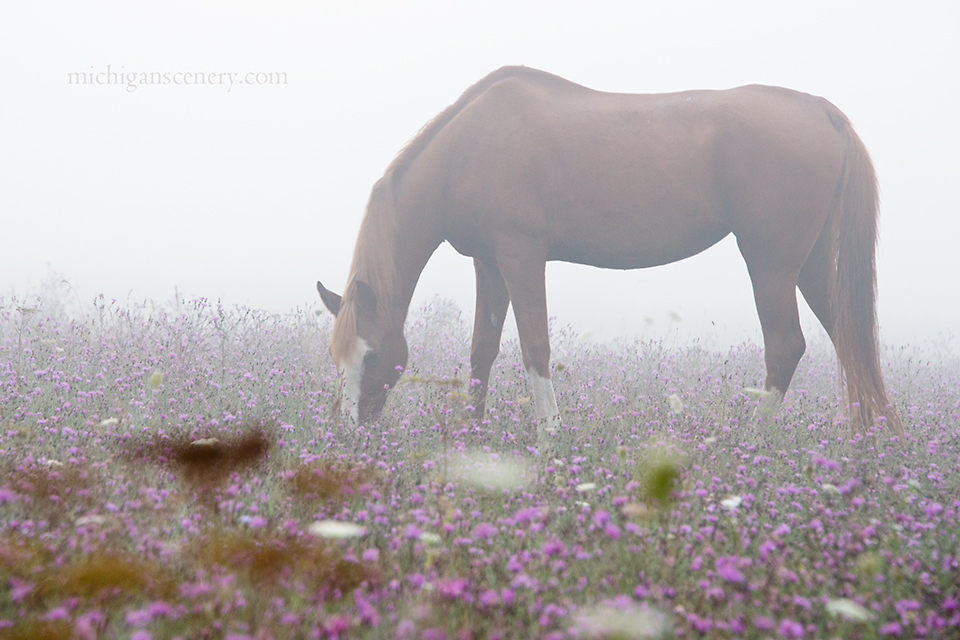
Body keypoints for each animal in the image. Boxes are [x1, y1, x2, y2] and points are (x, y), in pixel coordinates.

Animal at [318, 67, 904, 442]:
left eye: (372, 355)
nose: (347, 433)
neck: (470, 145)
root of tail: (822, 111)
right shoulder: (489, 262)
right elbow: (482, 350)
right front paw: (471, 436)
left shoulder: (521, 255)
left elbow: (535, 348)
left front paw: (551, 439)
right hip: (810, 265)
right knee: (850, 341)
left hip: (772, 265)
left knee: (786, 347)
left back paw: (753, 447)